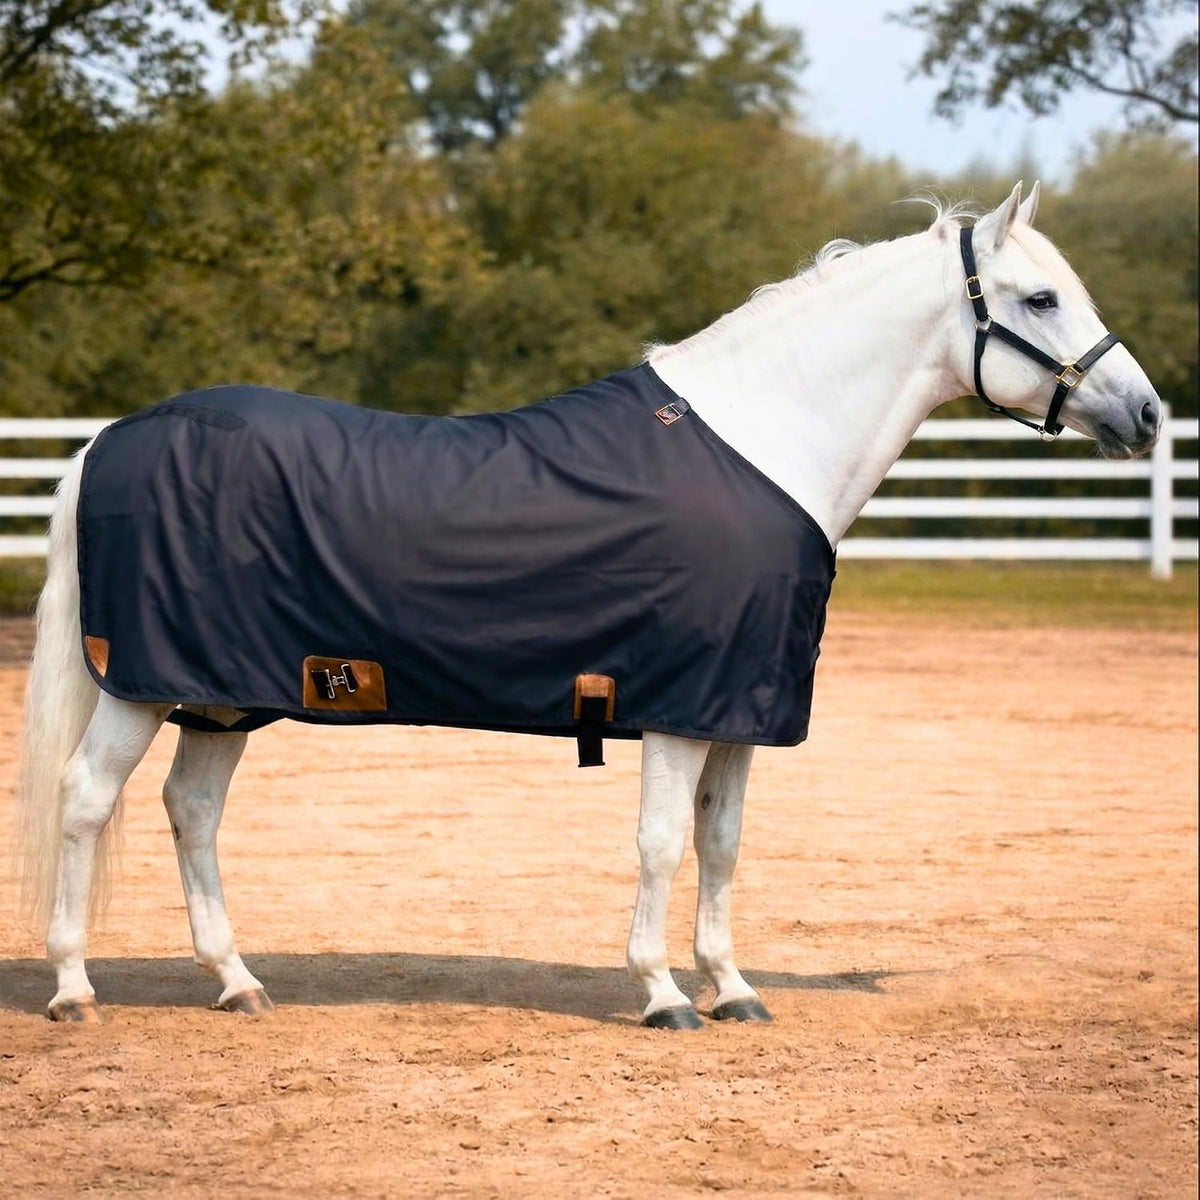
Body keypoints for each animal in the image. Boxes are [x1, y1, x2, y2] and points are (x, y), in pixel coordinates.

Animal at [13, 182, 1162, 1029]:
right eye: (1040, 299)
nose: (1148, 414)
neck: (763, 440)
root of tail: (114, 435)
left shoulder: (737, 709)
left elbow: (722, 844)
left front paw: (734, 989)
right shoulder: (679, 706)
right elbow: (660, 844)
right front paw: (661, 995)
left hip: (223, 692)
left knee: (192, 811)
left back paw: (238, 983)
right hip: (140, 687)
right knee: (85, 801)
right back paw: (73, 989)